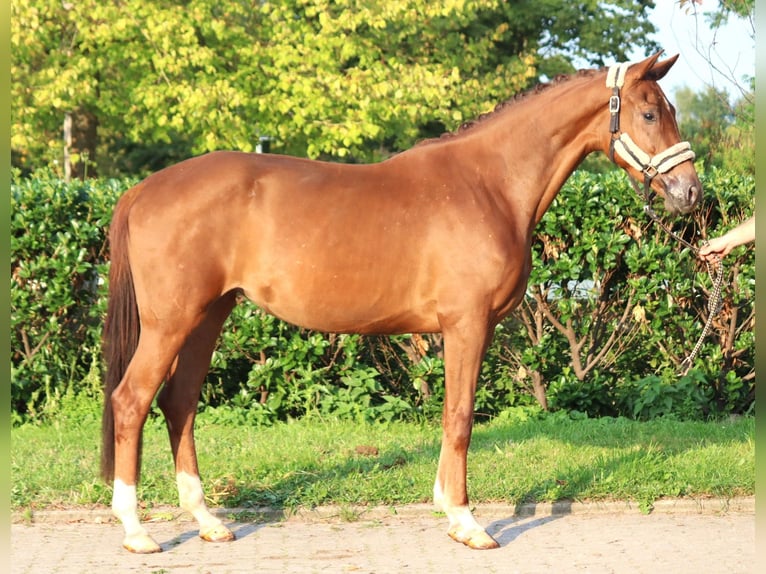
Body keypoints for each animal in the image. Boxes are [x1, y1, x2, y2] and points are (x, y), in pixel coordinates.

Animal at [99, 54, 700, 552]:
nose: (690, 193)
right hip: (171, 323)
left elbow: (451, 413)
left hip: (208, 317)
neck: (489, 184)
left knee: (180, 403)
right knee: (132, 400)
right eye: (650, 114)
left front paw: (447, 509)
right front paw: (467, 522)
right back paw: (136, 531)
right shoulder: (466, 324)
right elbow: (460, 415)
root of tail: (142, 190)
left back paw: (207, 522)